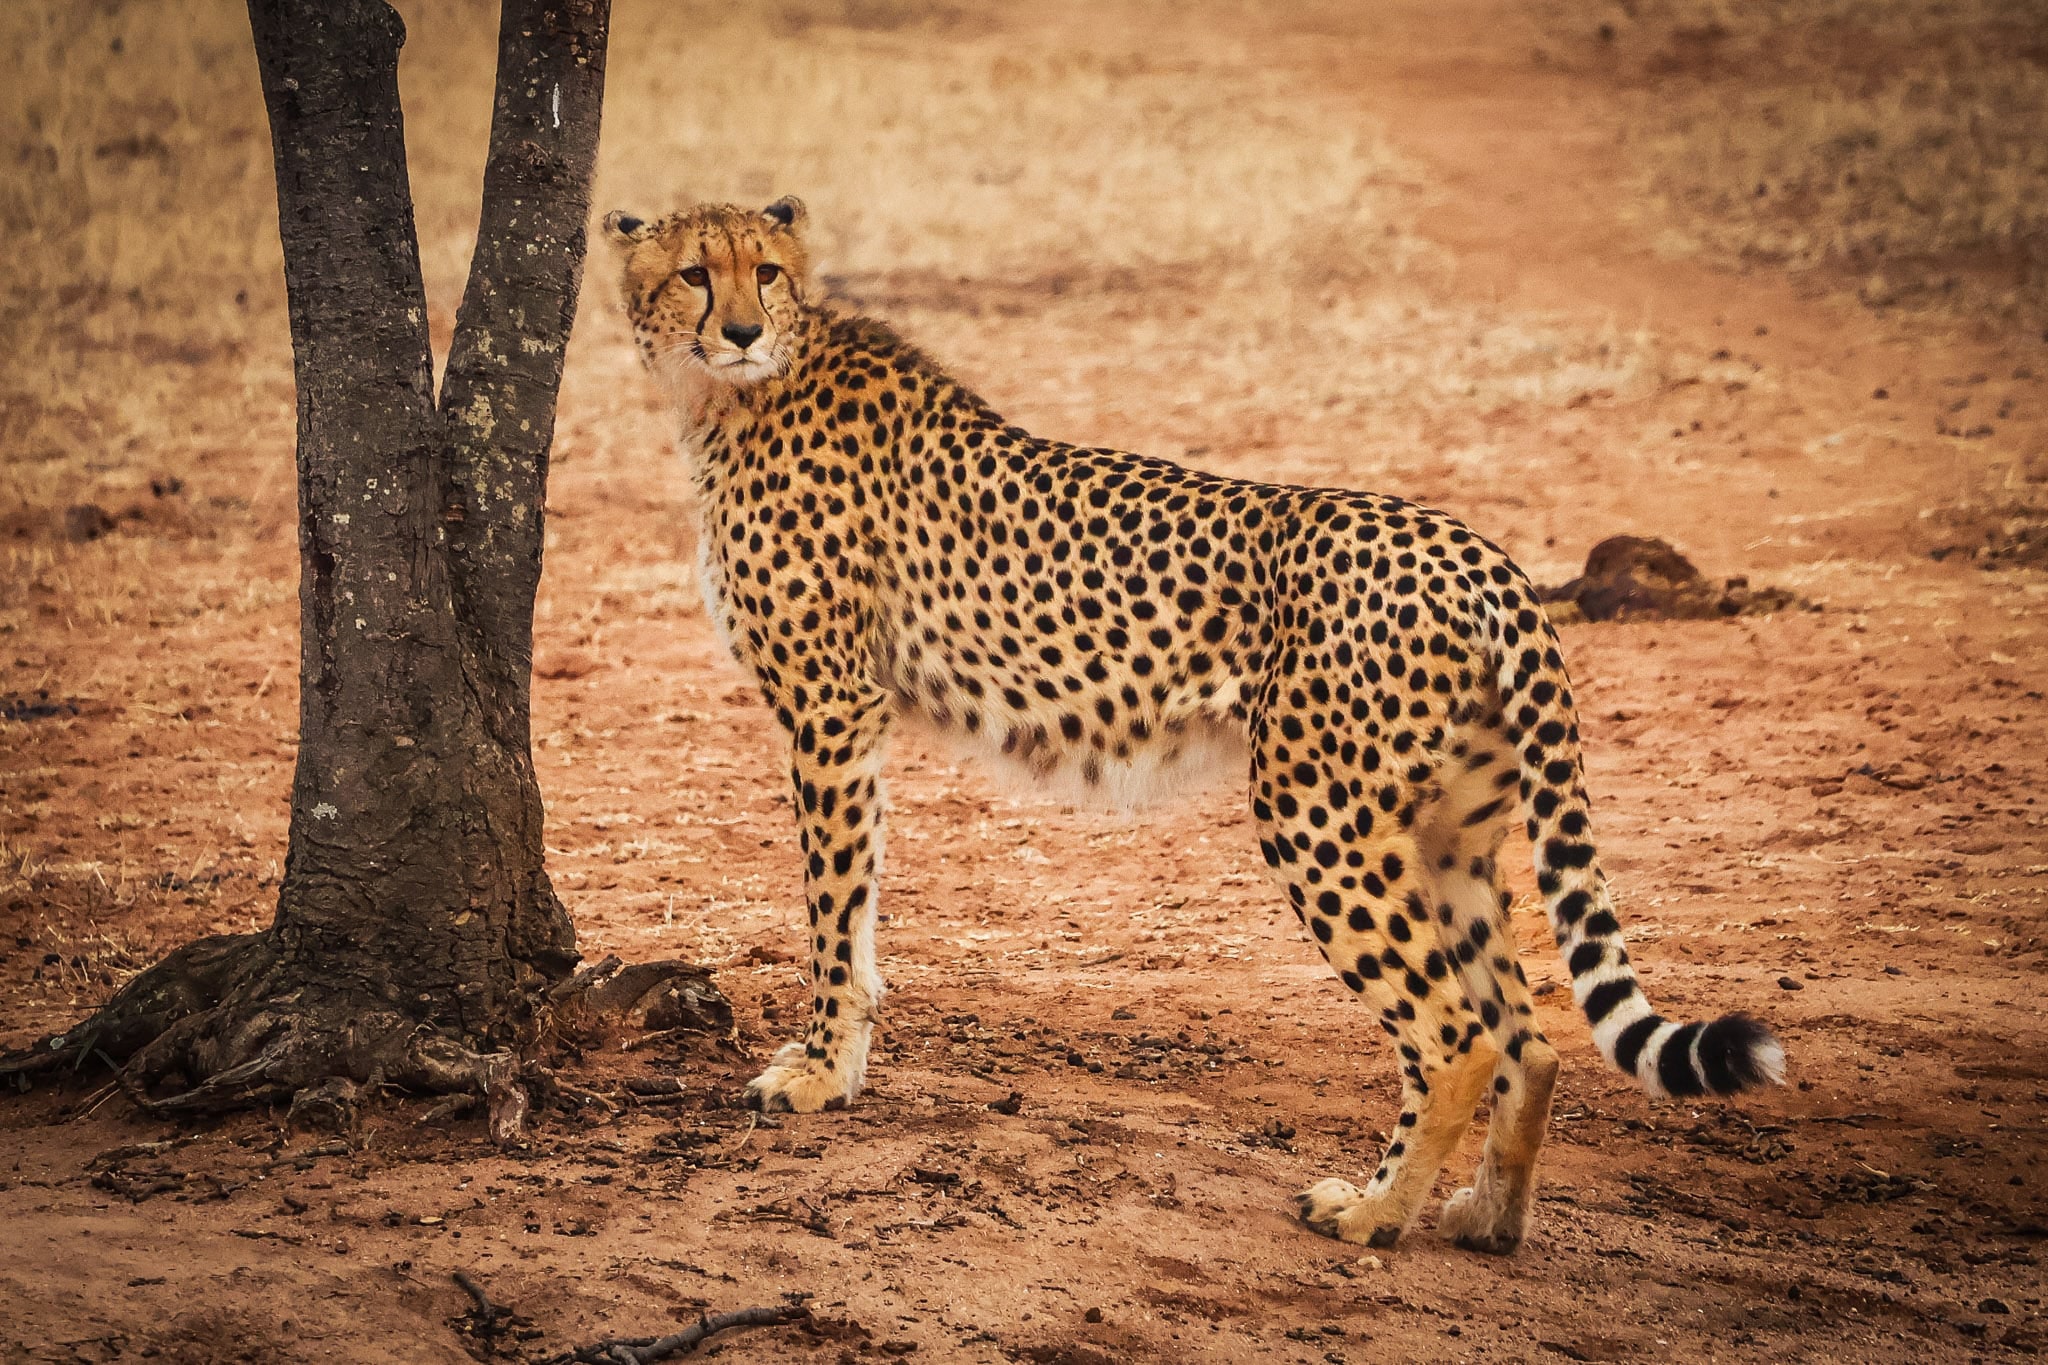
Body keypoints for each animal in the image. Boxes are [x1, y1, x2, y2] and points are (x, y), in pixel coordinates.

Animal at [603, 196, 1786, 1255]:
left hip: (1315, 813)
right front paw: (834, 1064)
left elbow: (833, 905)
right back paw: (1486, 1220)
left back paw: (1372, 1214)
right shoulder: (846, 710)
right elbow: (854, 903)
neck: (735, 395)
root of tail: (1474, 550)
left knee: (1452, 1035)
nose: (741, 331)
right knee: (1526, 1037)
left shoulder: (830, 706)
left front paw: (816, 1071)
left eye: (765, 272)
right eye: (695, 274)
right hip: (1448, 832)